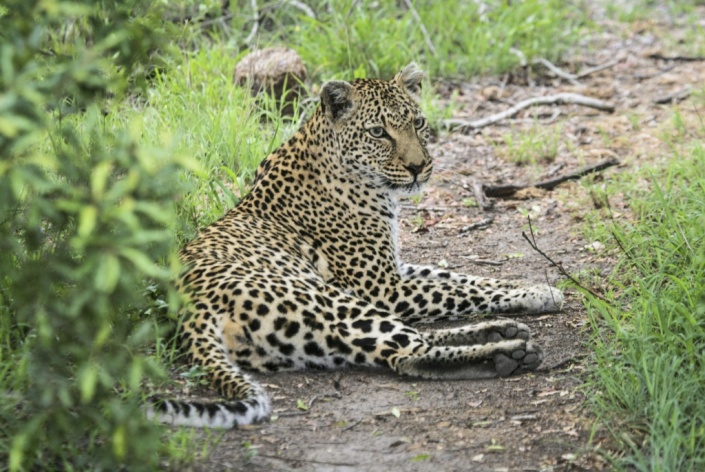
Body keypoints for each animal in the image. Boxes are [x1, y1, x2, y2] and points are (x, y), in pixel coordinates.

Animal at [147, 63, 563, 428]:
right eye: (379, 132)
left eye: (417, 123)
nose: (418, 167)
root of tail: (188, 310)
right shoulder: (383, 286)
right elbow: (455, 291)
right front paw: (541, 292)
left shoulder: (395, 269)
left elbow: (465, 280)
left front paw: (531, 288)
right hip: (327, 302)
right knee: (407, 353)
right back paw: (508, 353)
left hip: (312, 341)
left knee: (408, 341)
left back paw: (501, 331)